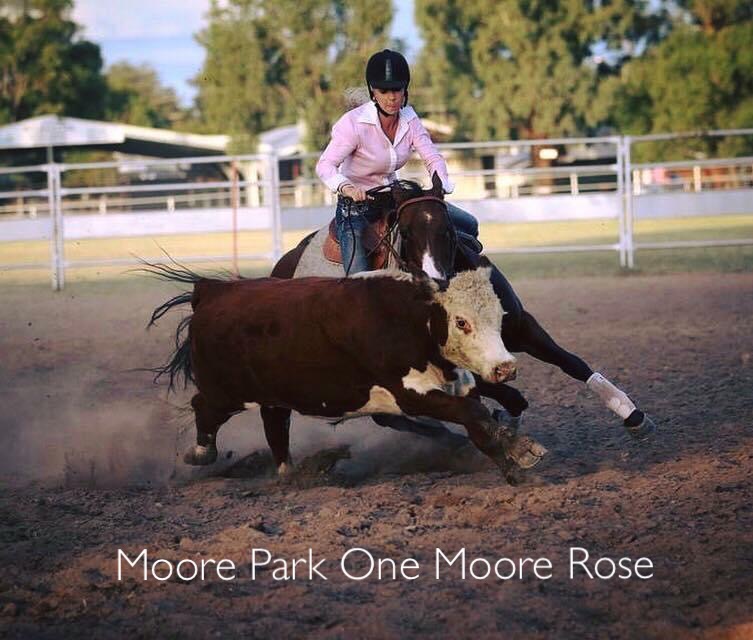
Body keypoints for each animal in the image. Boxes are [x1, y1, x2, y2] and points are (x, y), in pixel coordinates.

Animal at [147, 259, 547, 482]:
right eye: (461, 321)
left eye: (500, 316)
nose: (504, 368)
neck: (411, 320)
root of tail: (211, 292)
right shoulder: (413, 396)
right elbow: (473, 414)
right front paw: (521, 450)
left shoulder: (458, 386)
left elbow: (479, 421)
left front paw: (514, 462)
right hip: (226, 391)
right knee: (203, 408)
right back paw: (200, 454)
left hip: (272, 395)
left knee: (275, 427)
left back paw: (294, 474)